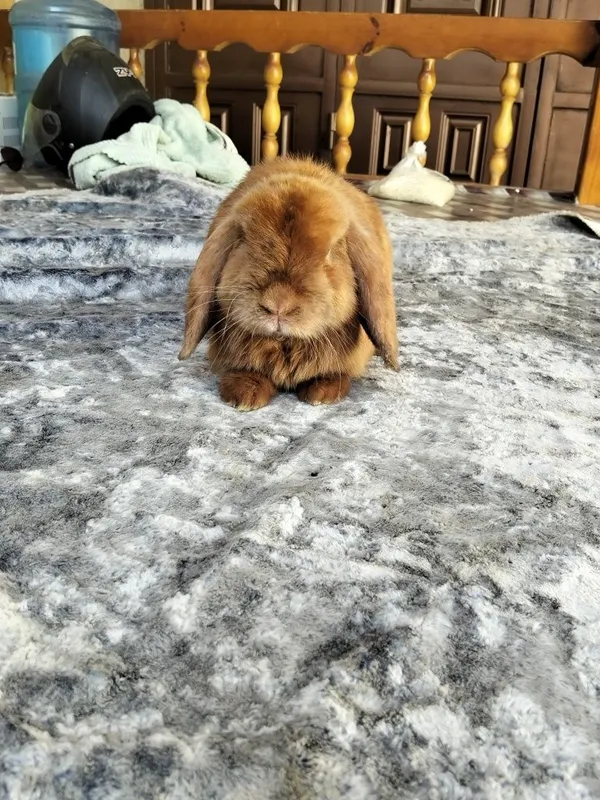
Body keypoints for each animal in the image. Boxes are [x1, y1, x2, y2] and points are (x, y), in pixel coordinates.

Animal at [178, 155, 398, 411]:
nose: (279, 304)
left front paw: (323, 393)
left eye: (331, 251)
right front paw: (244, 395)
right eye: (243, 240)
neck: (285, 344)